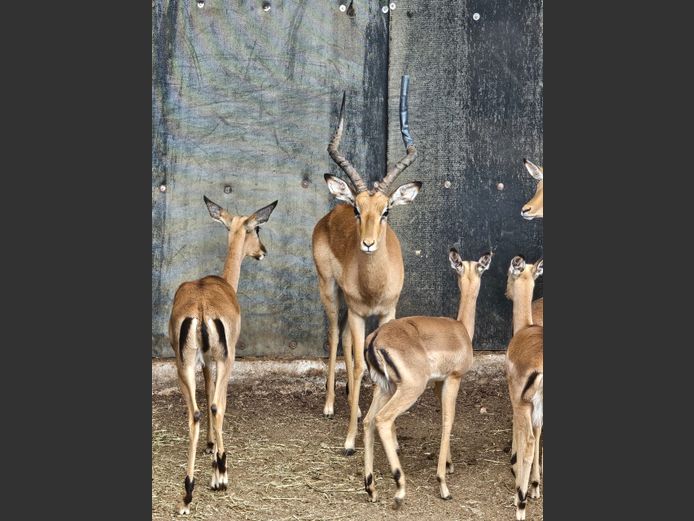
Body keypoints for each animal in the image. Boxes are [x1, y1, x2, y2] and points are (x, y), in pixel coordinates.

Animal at [168, 195, 278, 515]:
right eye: (257, 229)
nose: (263, 251)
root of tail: (202, 308)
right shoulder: (223, 361)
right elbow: (219, 402)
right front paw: (218, 468)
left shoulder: (204, 363)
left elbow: (206, 391)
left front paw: (209, 448)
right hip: (224, 362)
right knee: (217, 406)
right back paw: (220, 475)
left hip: (183, 365)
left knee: (194, 412)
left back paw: (187, 493)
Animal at [312, 76, 421, 455]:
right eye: (358, 209)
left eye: (386, 210)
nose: (369, 243)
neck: (373, 286)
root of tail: (331, 213)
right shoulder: (360, 313)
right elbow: (361, 365)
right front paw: (349, 441)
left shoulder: (388, 313)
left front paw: (384, 432)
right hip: (330, 292)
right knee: (335, 336)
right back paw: (332, 406)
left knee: (345, 338)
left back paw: (355, 408)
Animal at [362, 249, 492, 508]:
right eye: (480, 267)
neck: (461, 329)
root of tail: (376, 337)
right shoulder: (453, 379)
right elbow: (448, 421)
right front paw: (443, 484)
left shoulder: (438, 383)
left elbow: (442, 417)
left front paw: (449, 465)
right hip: (409, 389)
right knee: (382, 419)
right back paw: (400, 489)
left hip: (385, 388)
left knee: (368, 421)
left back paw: (371, 489)